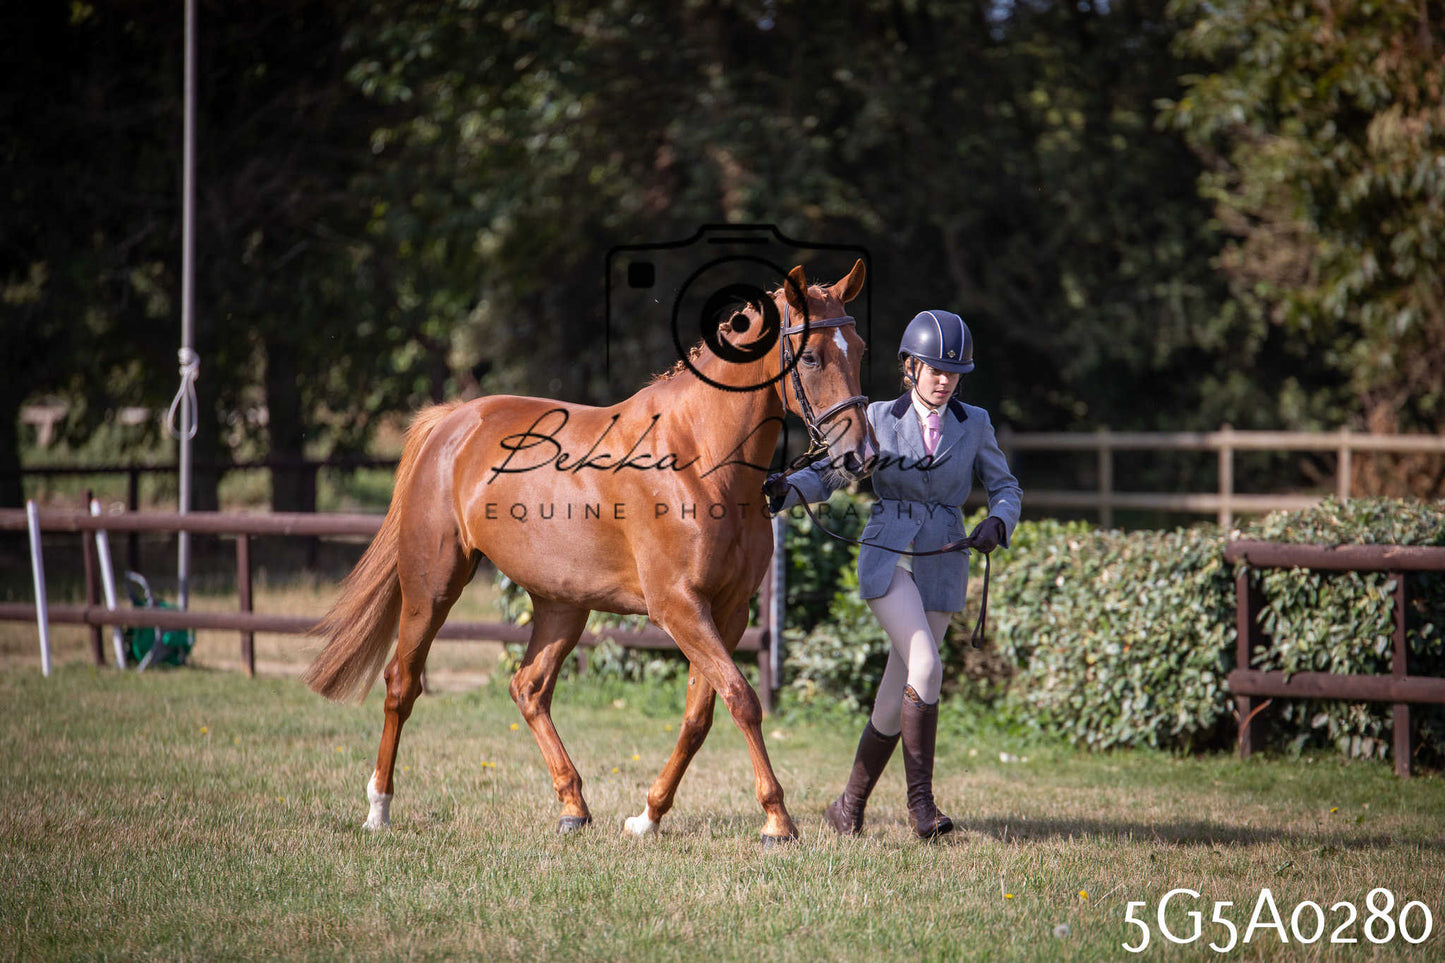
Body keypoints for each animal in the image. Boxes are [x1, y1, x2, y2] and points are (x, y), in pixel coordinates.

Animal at [304, 259, 875, 843]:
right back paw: (378, 809)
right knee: (402, 684)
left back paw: (573, 807)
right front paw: (777, 820)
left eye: (859, 347)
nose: (860, 456)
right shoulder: (679, 608)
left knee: (529, 688)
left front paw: (648, 815)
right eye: (811, 356)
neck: (700, 459)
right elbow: (743, 699)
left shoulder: (728, 612)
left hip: (563, 605)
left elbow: (700, 716)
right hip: (433, 587)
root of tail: (452, 422)